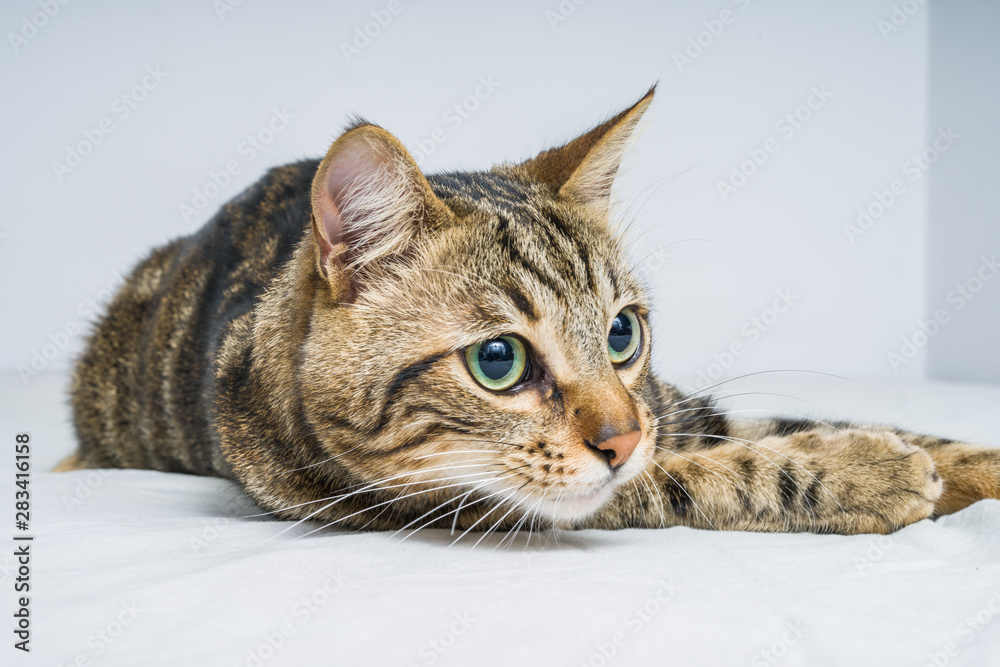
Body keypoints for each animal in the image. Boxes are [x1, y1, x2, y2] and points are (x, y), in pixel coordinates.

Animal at [58, 87, 1000, 536]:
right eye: (498, 361)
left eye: (622, 332)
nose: (621, 435)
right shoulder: (449, 497)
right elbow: (706, 474)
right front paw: (869, 473)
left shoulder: (670, 407)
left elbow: (811, 422)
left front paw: (960, 460)